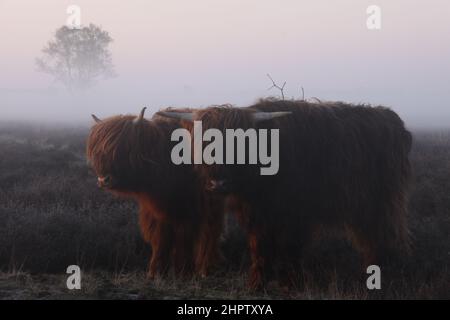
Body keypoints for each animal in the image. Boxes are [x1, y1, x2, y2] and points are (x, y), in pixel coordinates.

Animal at [85, 107, 223, 278]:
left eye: (123, 148)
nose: (104, 180)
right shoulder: (155, 211)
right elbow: (160, 238)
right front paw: (156, 271)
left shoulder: (190, 209)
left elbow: (186, 237)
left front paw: (184, 271)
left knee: (209, 233)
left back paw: (206, 268)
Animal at [160, 99, 414, 288]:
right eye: (204, 143)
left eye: (242, 144)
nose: (218, 183)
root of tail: (393, 119)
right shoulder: (255, 212)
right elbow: (259, 246)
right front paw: (258, 282)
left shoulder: (296, 213)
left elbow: (291, 248)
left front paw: (290, 282)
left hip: (382, 200)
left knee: (383, 233)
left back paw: (382, 271)